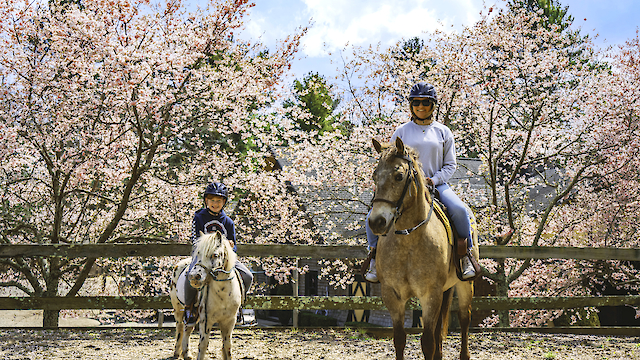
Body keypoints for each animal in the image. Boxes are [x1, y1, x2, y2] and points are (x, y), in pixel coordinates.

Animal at [368, 137, 478, 360]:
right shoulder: (392, 295)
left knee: (464, 319)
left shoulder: (430, 295)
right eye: (375, 176)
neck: (408, 241)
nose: (376, 222)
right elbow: (400, 339)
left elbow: (427, 343)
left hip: (464, 286)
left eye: (399, 176)